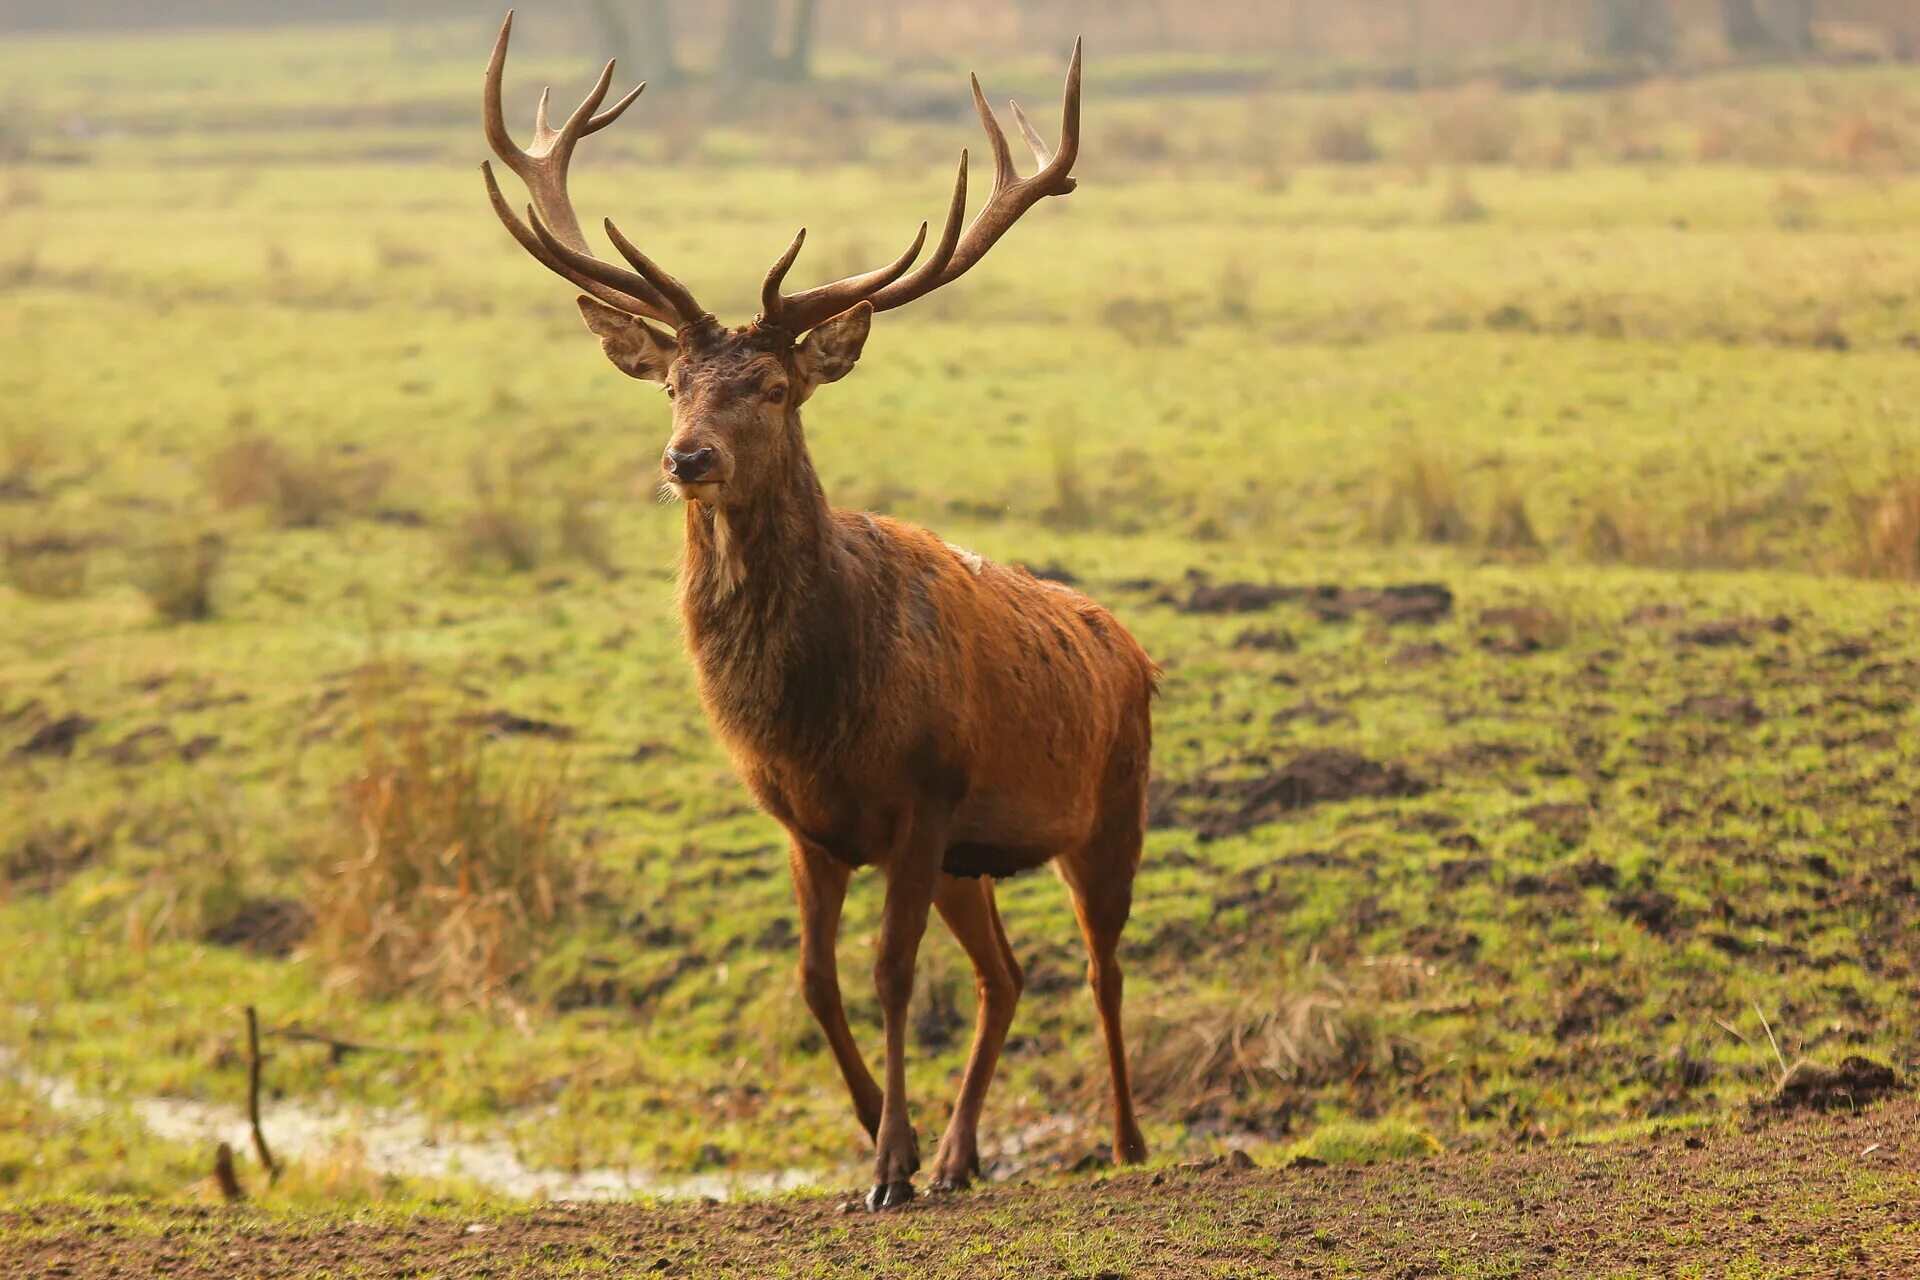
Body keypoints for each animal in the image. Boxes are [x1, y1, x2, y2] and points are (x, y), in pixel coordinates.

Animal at [480, 12, 1152, 1212]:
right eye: (672, 384)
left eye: (775, 387)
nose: (685, 458)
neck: (811, 716)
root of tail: (1129, 646)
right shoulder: (809, 822)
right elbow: (813, 980)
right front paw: (886, 1134)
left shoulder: (924, 796)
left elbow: (888, 975)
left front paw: (888, 1167)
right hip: (977, 857)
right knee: (1008, 973)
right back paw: (962, 1153)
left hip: (1110, 806)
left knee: (1104, 966)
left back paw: (1124, 1142)